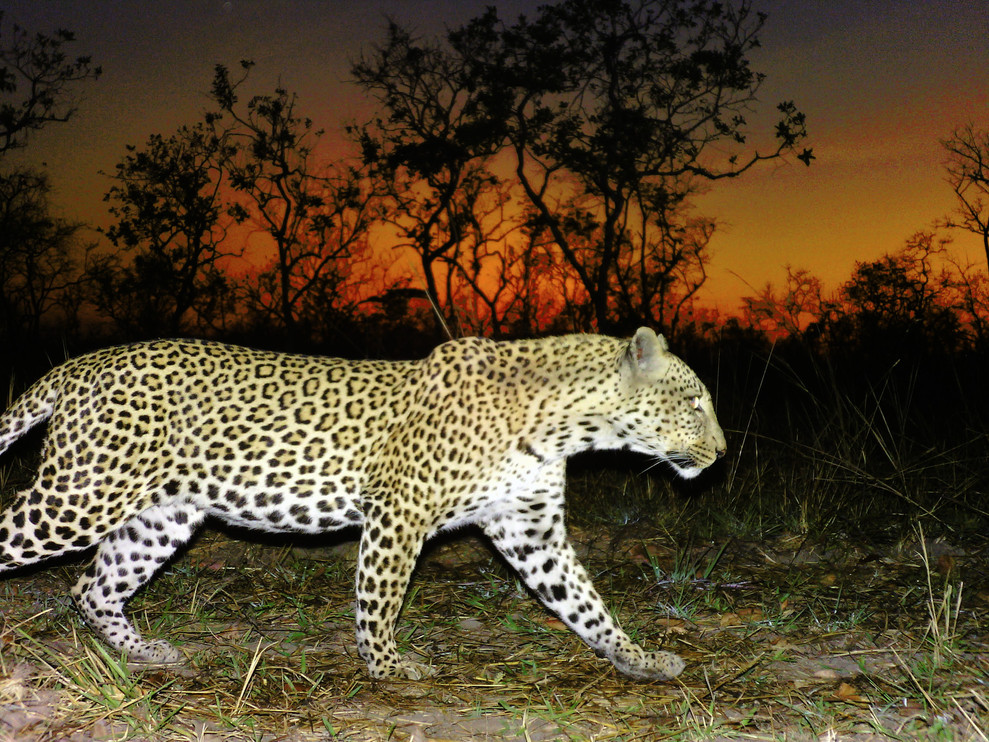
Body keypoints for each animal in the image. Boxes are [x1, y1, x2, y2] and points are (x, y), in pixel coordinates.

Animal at [0, 327, 725, 681]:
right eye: (694, 402)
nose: (720, 454)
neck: (566, 425)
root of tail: (82, 365)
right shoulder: (400, 512)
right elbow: (380, 599)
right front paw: (388, 666)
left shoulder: (529, 527)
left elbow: (585, 602)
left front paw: (637, 659)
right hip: (81, 495)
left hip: (161, 513)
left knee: (92, 587)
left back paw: (146, 653)